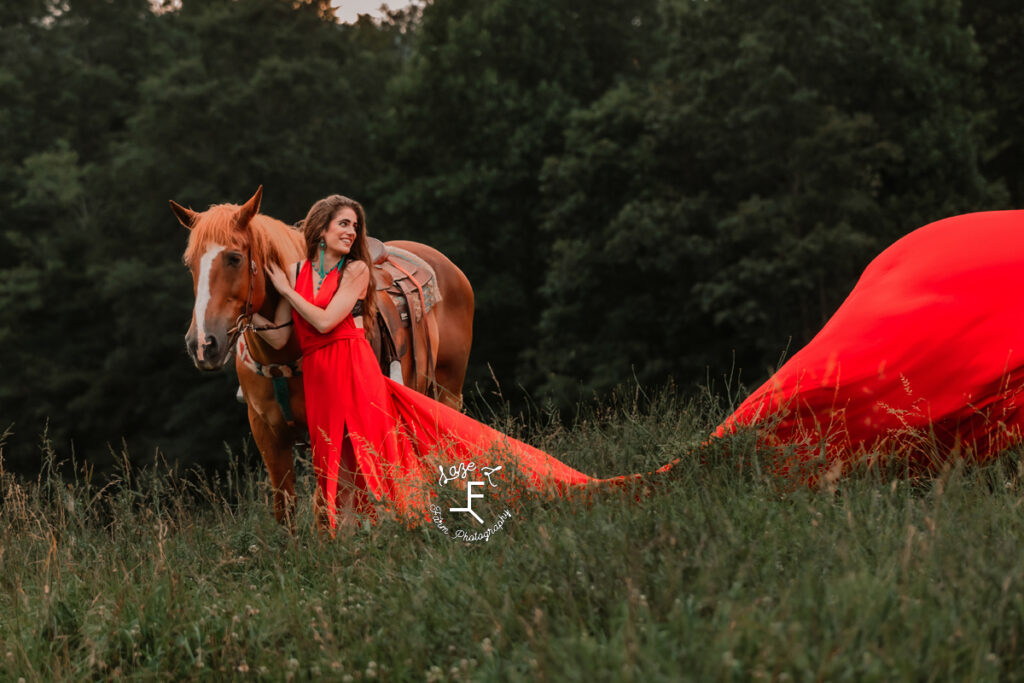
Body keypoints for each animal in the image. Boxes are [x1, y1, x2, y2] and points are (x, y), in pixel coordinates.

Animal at [172, 187, 475, 524]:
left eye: (234, 258)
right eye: (190, 264)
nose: (203, 344)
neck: (281, 358)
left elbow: (324, 505)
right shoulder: (267, 434)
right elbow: (286, 507)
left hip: (448, 393)